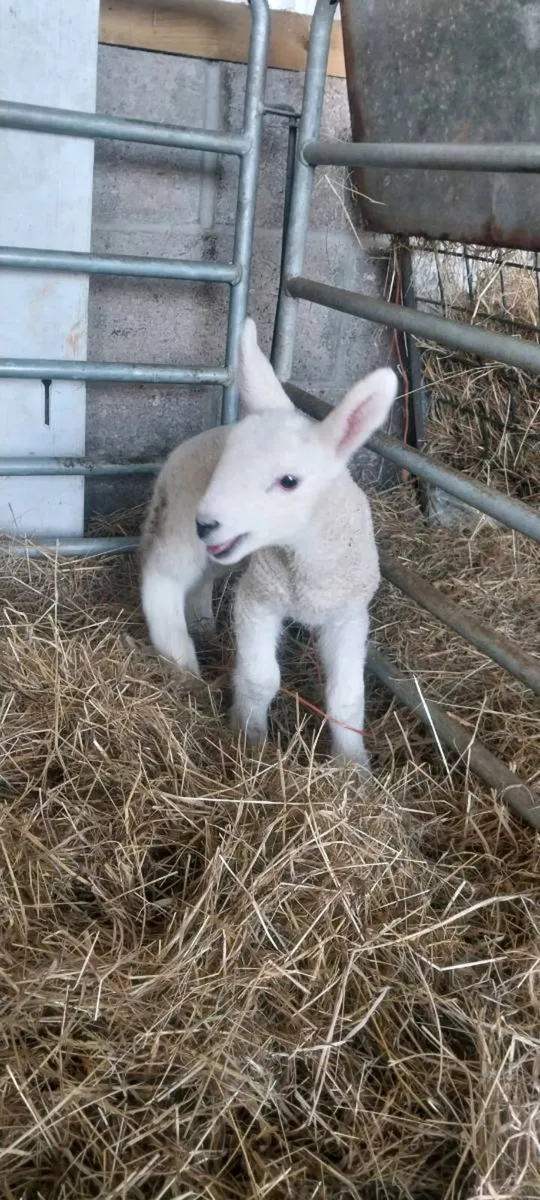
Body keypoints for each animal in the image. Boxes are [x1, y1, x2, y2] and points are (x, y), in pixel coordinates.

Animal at [140, 317, 398, 769]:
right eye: (226, 461)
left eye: (289, 481)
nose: (207, 523)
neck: (303, 563)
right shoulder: (259, 598)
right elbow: (261, 678)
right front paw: (249, 739)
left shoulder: (349, 615)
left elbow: (346, 697)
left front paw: (354, 767)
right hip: (178, 521)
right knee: (163, 580)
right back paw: (182, 661)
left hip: (227, 551)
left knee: (203, 579)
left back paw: (202, 622)